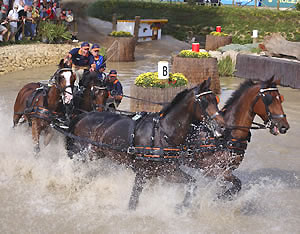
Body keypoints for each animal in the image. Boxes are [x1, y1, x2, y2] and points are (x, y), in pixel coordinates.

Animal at [65, 78, 225, 210]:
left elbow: (192, 183)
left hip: (96, 153)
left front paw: (182, 206)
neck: (163, 132)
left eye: (216, 100)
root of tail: (84, 115)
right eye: (205, 101)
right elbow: (133, 200)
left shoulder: (168, 171)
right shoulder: (142, 172)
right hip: (84, 153)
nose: (223, 126)